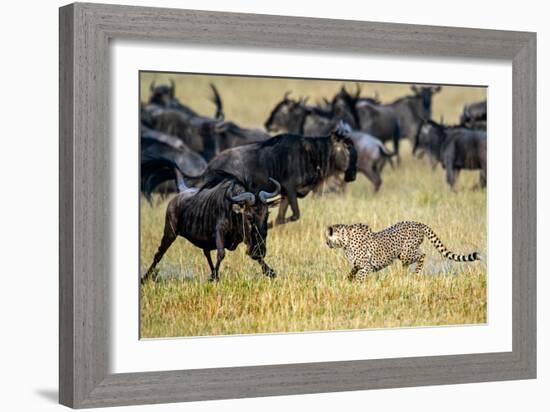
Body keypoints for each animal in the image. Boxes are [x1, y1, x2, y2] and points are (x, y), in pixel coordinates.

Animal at [326, 222, 480, 280]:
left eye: (326, 237)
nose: (326, 243)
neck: (345, 240)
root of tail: (417, 223)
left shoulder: (366, 266)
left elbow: (360, 276)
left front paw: (357, 286)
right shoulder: (358, 265)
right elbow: (352, 272)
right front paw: (347, 281)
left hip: (407, 253)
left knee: (422, 254)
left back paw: (415, 274)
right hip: (403, 255)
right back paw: (403, 274)